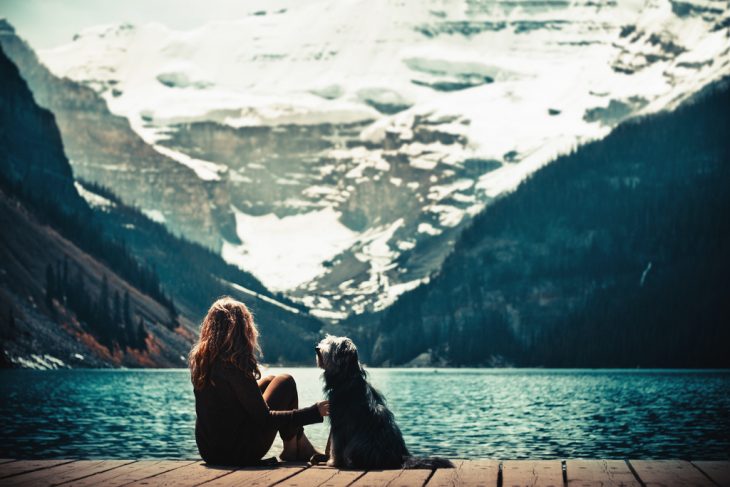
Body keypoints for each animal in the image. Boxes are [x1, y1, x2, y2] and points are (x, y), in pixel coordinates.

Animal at [312, 338, 452, 470]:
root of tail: (400, 457)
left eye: (331, 344)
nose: (317, 348)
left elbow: (336, 447)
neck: (347, 378)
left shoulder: (340, 424)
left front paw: (333, 462)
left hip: (359, 444)